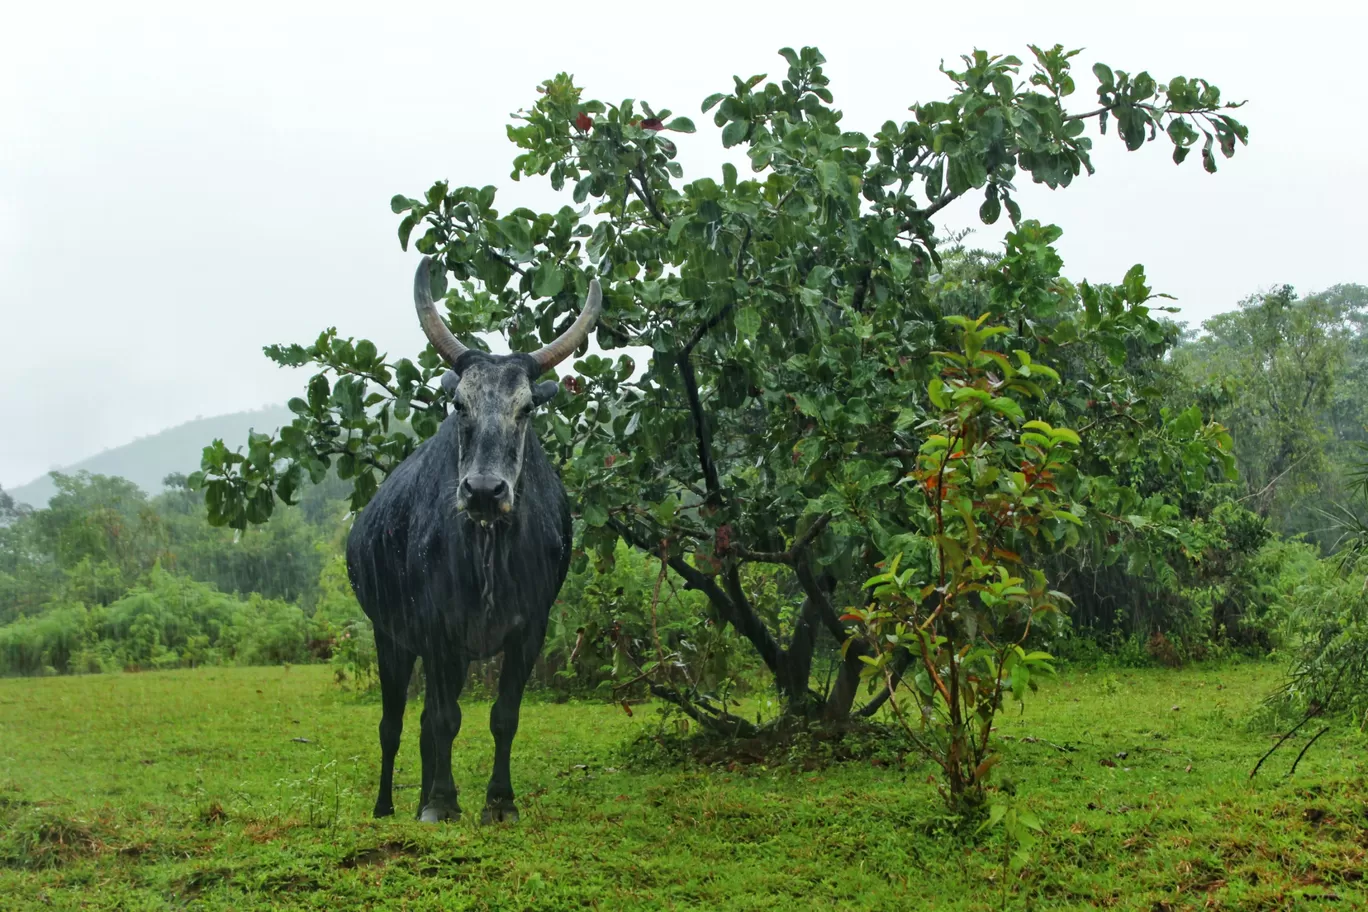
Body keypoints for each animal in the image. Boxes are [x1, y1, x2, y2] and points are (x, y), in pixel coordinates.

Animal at [342, 252, 599, 825]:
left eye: (526, 408)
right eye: (459, 404)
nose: (483, 491)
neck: (489, 553)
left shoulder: (529, 630)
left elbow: (502, 716)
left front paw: (498, 802)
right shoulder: (436, 630)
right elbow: (444, 719)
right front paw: (442, 802)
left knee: (419, 726)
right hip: (390, 639)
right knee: (394, 726)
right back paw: (389, 806)